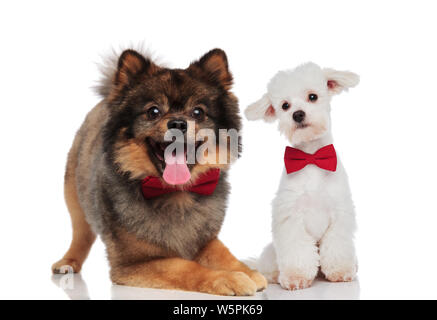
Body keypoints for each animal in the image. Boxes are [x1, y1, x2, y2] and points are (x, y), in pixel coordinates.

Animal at [52, 47, 268, 296]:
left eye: (198, 112)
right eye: (153, 111)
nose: (178, 123)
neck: (176, 194)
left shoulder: (205, 239)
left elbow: (224, 254)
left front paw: (247, 271)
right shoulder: (135, 263)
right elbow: (187, 267)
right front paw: (227, 278)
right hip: (74, 198)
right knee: (80, 234)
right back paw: (68, 262)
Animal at [244, 62, 360, 290]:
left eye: (312, 97)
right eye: (285, 105)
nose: (297, 114)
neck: (311, 157)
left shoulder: (339, 213)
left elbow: (337, 245)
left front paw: (340, 271)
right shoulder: (291, 217)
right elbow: (297, 250)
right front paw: (295, 277)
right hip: (271, 253)